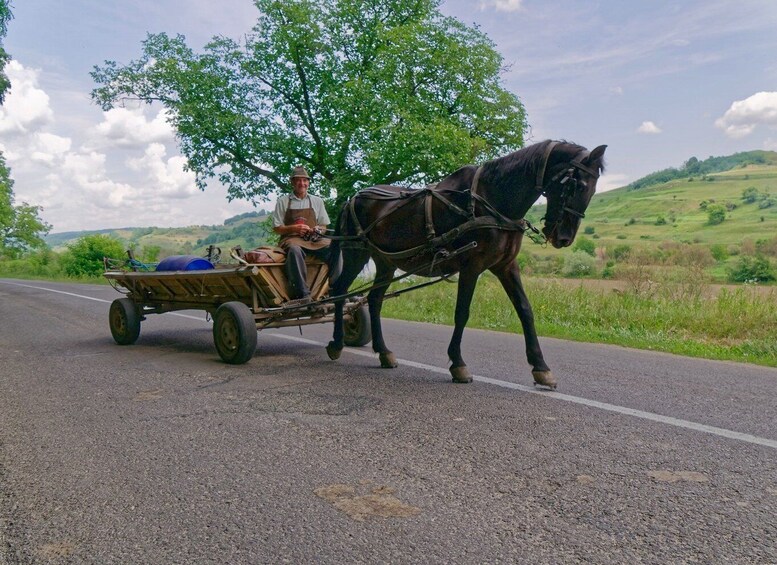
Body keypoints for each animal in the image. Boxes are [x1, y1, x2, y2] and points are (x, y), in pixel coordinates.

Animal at [324, 139, 604, 390]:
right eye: (576, 185)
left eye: (592, 190)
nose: (564, 238)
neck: (490, 200)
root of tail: (352, 198)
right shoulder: (472, 265)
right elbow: (462, 312)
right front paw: (458, 364)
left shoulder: (506, 266)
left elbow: (525, 311)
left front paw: (541, 368)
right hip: (356, 253)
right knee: (340, 291)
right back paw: (337, 343)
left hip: (385, 262)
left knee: (374, 299)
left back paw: (383, 352)